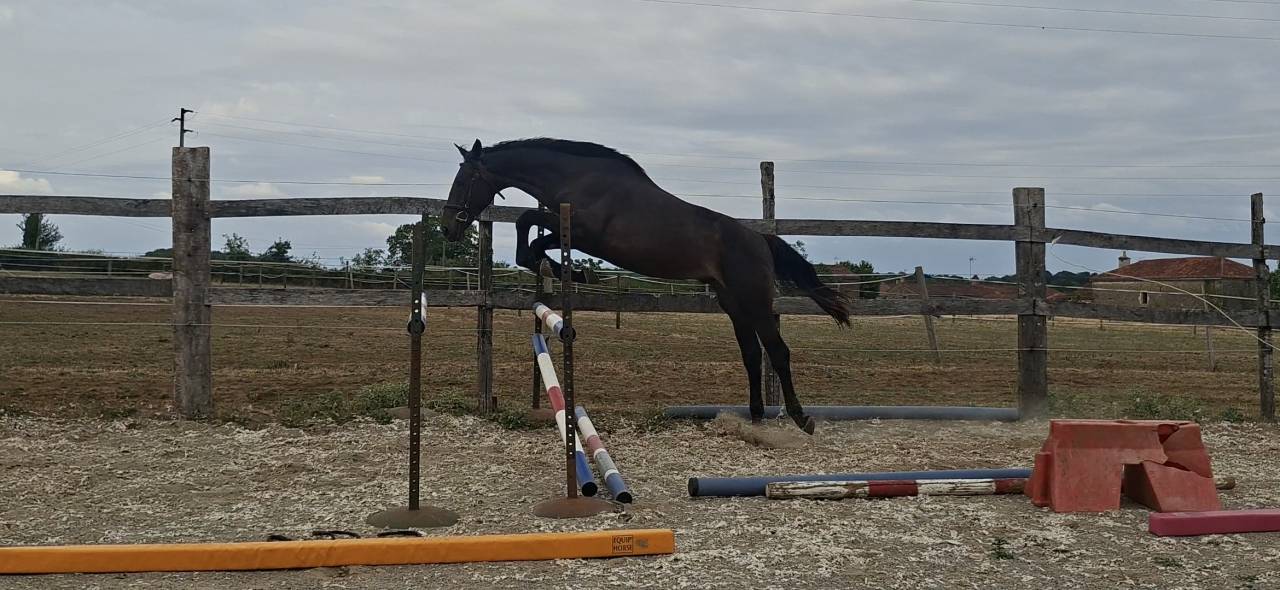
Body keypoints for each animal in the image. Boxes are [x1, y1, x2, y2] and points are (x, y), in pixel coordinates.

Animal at [440, 138, 850, 434]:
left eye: (464, 180)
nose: (448, 228)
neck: (578, 178)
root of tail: (759, 239)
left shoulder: (584, 233)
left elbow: (528, 224)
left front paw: (575, 273)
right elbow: (529, 233)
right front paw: (567, 271)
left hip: (755, 300)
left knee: (777, 352)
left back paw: (801, 419)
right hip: (732, 303)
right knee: (751, 353)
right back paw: (755, 415)